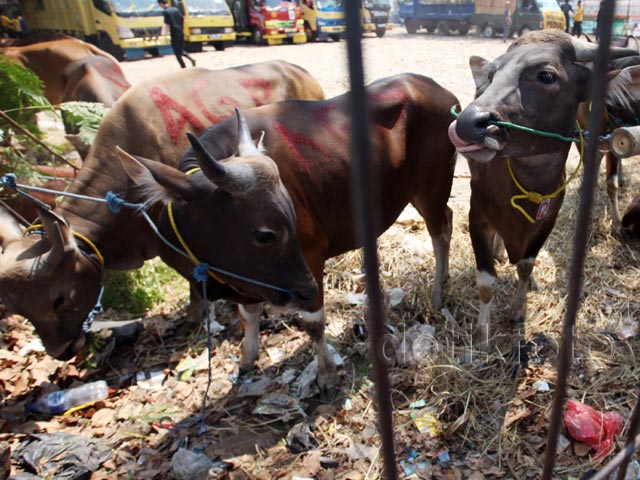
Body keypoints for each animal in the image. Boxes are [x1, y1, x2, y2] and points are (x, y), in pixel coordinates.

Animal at [119, 74, 460, 398]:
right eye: (265, 235)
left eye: (281, 226)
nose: (307, 290)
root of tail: (441, 92)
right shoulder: (254, 280)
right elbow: (248, 315)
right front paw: (247, 358)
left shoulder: (309, 257)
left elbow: (313, 323)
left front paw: (326, 375)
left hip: (432, 186)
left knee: (441, 230)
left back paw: (437, 293)